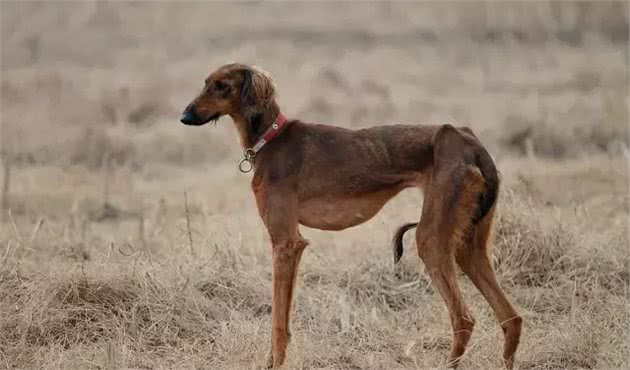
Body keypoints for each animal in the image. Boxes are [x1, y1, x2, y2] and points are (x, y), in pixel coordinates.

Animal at [179, 62, 524, 368]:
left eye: (222, 86)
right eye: (206, 82)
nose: (185, 116)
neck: (271, 139)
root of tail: (469, 141)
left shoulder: (286, 243)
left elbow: (277, 322)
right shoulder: (290, 247)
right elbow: (283, 319)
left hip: (431, 241)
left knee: (463, 318)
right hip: (468, 246)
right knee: (511, 317)